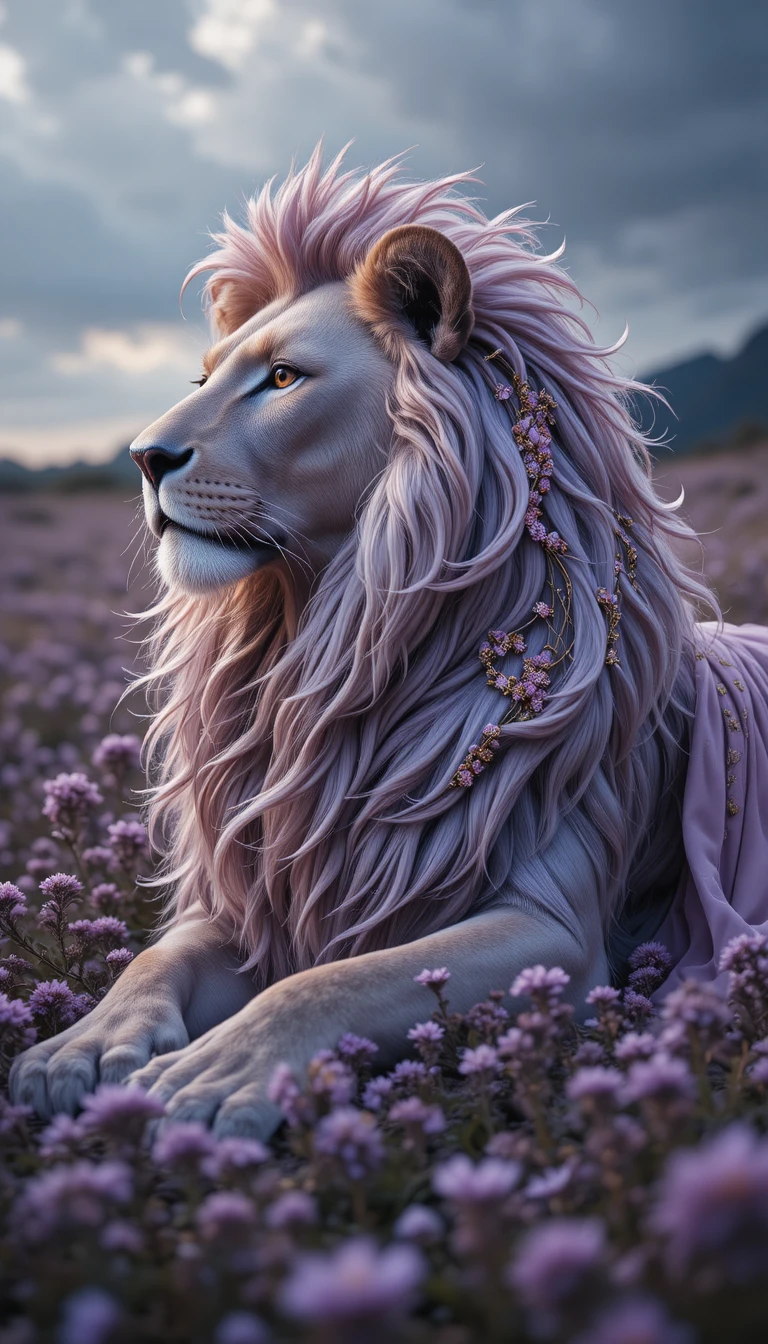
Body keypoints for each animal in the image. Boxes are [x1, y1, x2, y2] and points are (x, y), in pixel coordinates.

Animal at [11, 142, 768, 1136]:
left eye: (282, 379)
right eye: (202, 380)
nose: (144, 457)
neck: (336, 637)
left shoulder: (558, 935)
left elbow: (331, 983)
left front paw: (215, 1076)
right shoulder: (266, 894)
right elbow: (154, 956)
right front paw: (79, 1047)